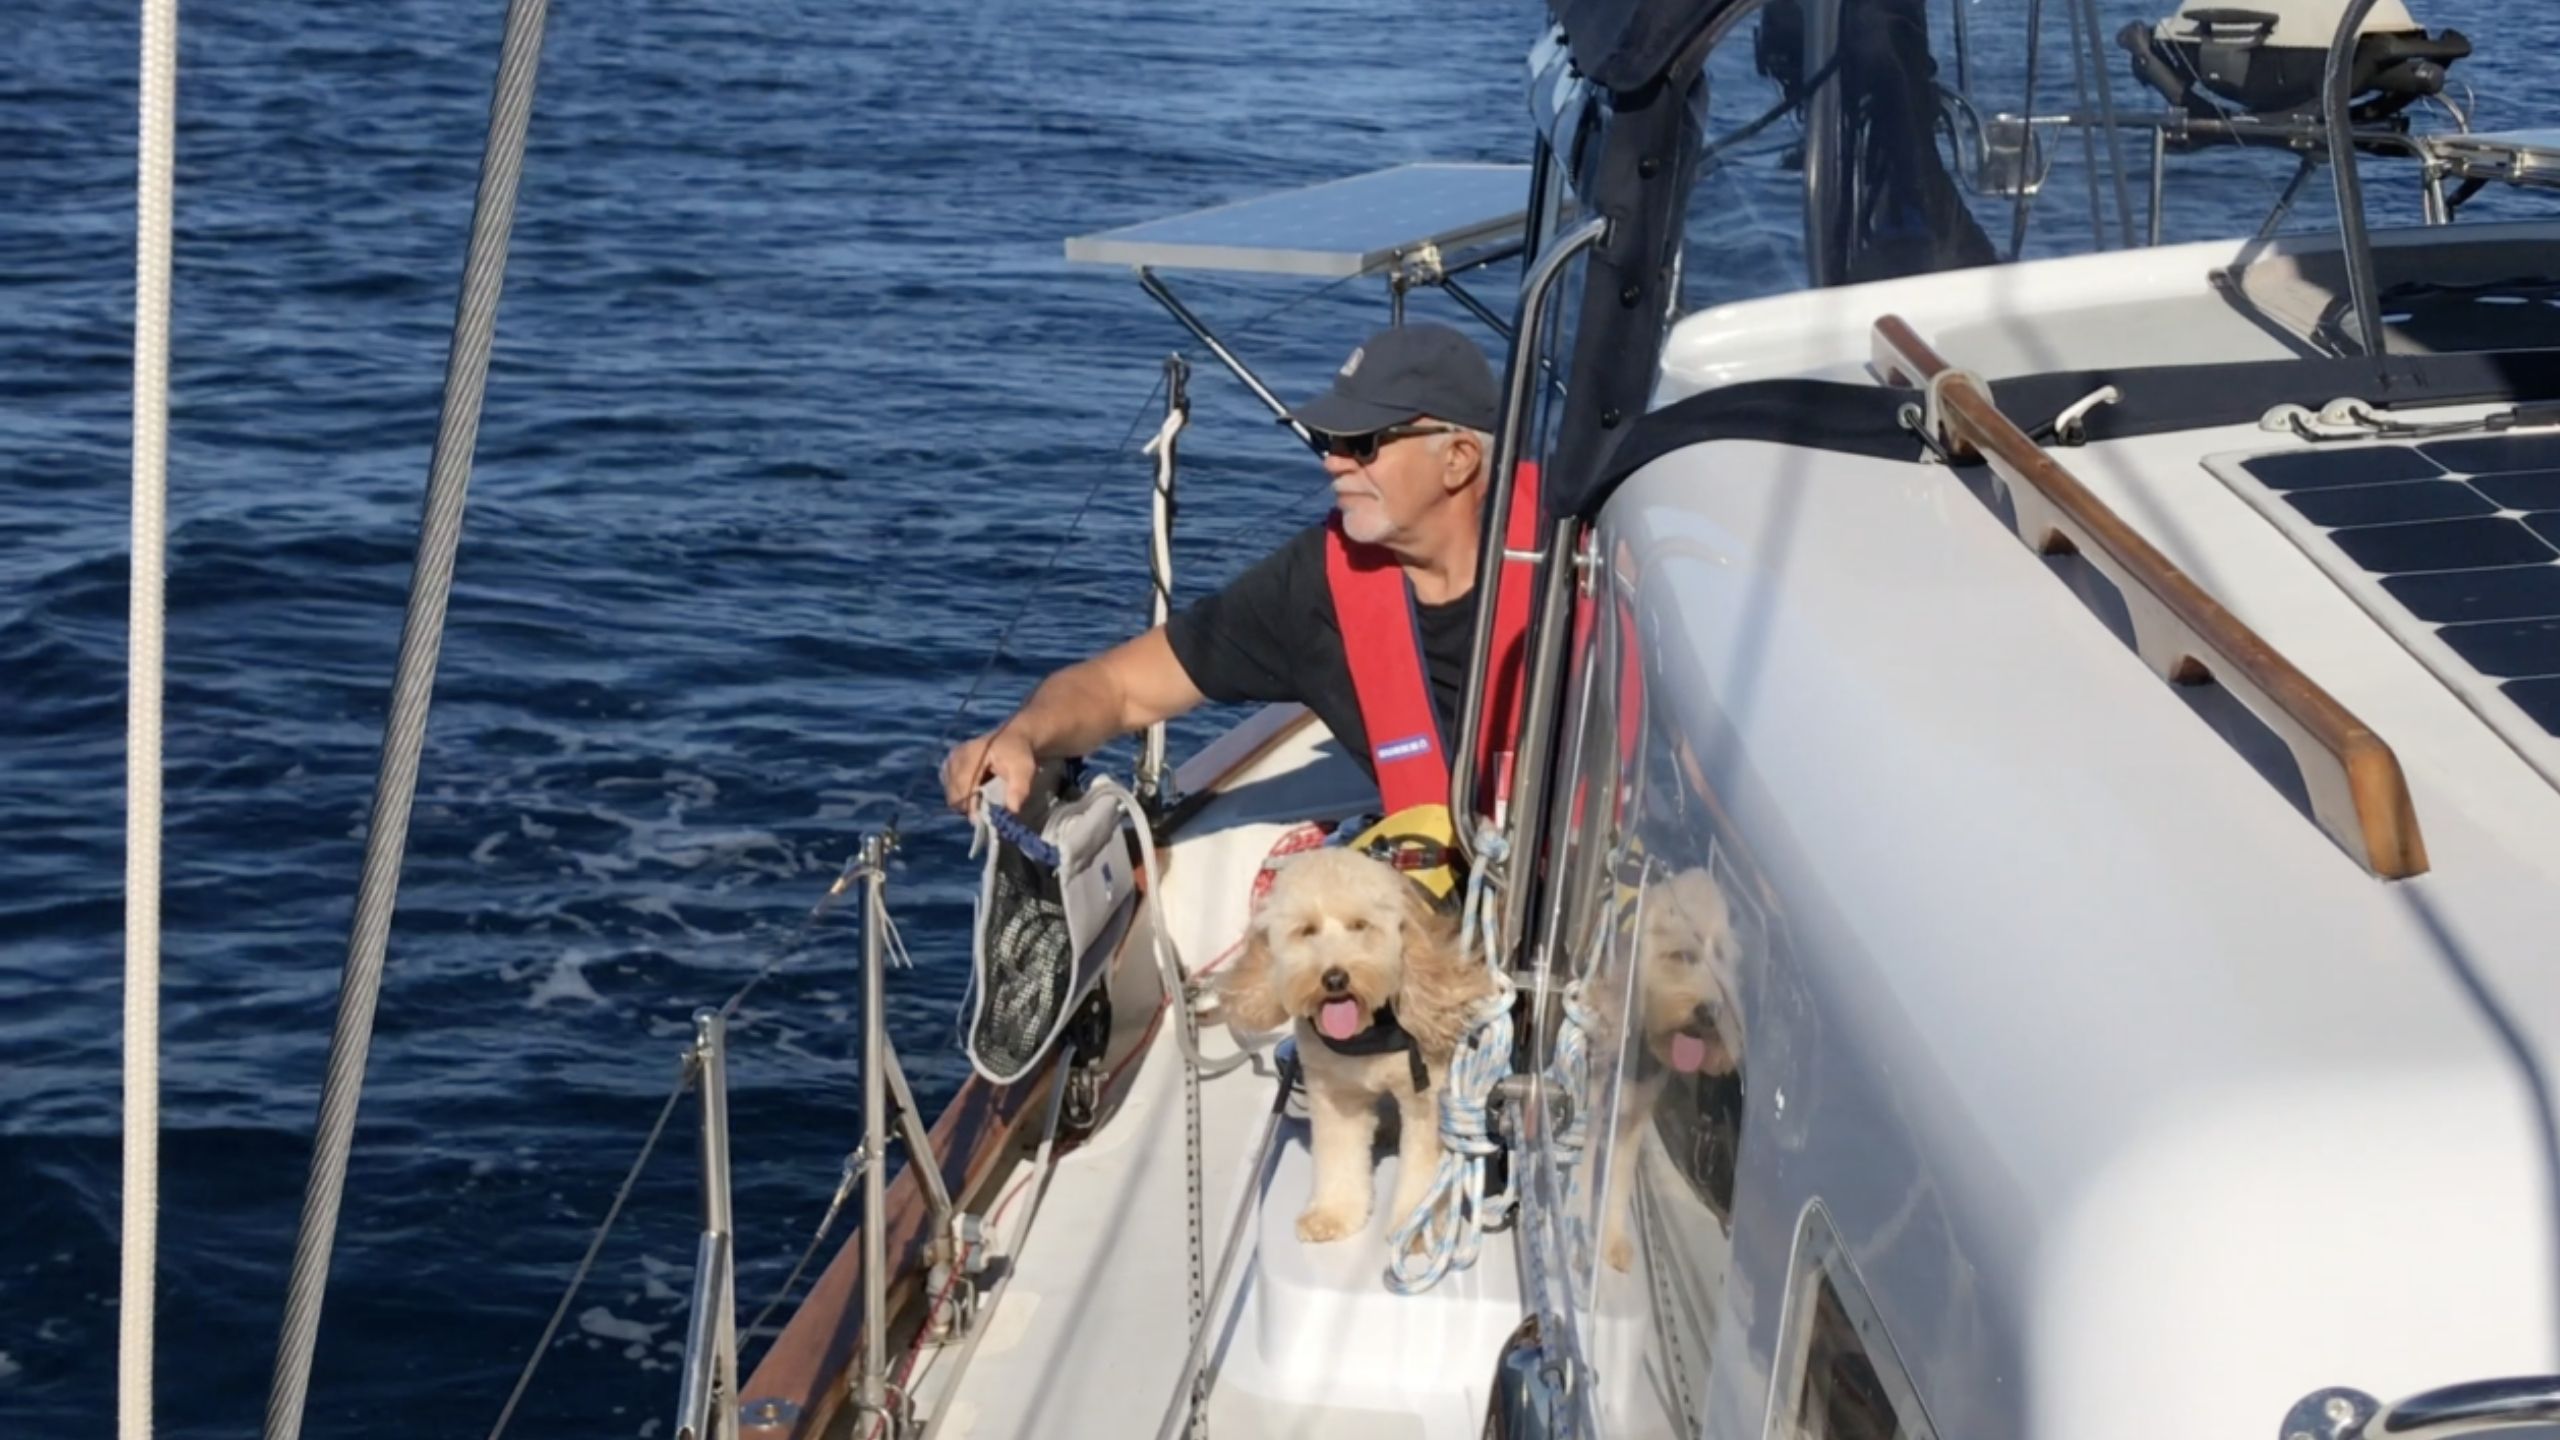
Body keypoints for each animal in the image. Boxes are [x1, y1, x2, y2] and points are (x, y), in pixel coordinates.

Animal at [1218, 845, 1495, 1240]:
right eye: (1307, 930)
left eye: (1360, 925)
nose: (1334, 978)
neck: (1366, 1036)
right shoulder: (1336, 1096)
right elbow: (1339, 1157)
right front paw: (1332, 1214)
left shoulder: (1426, 1096)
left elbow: (1423, 1169)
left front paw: (1415, 1228)